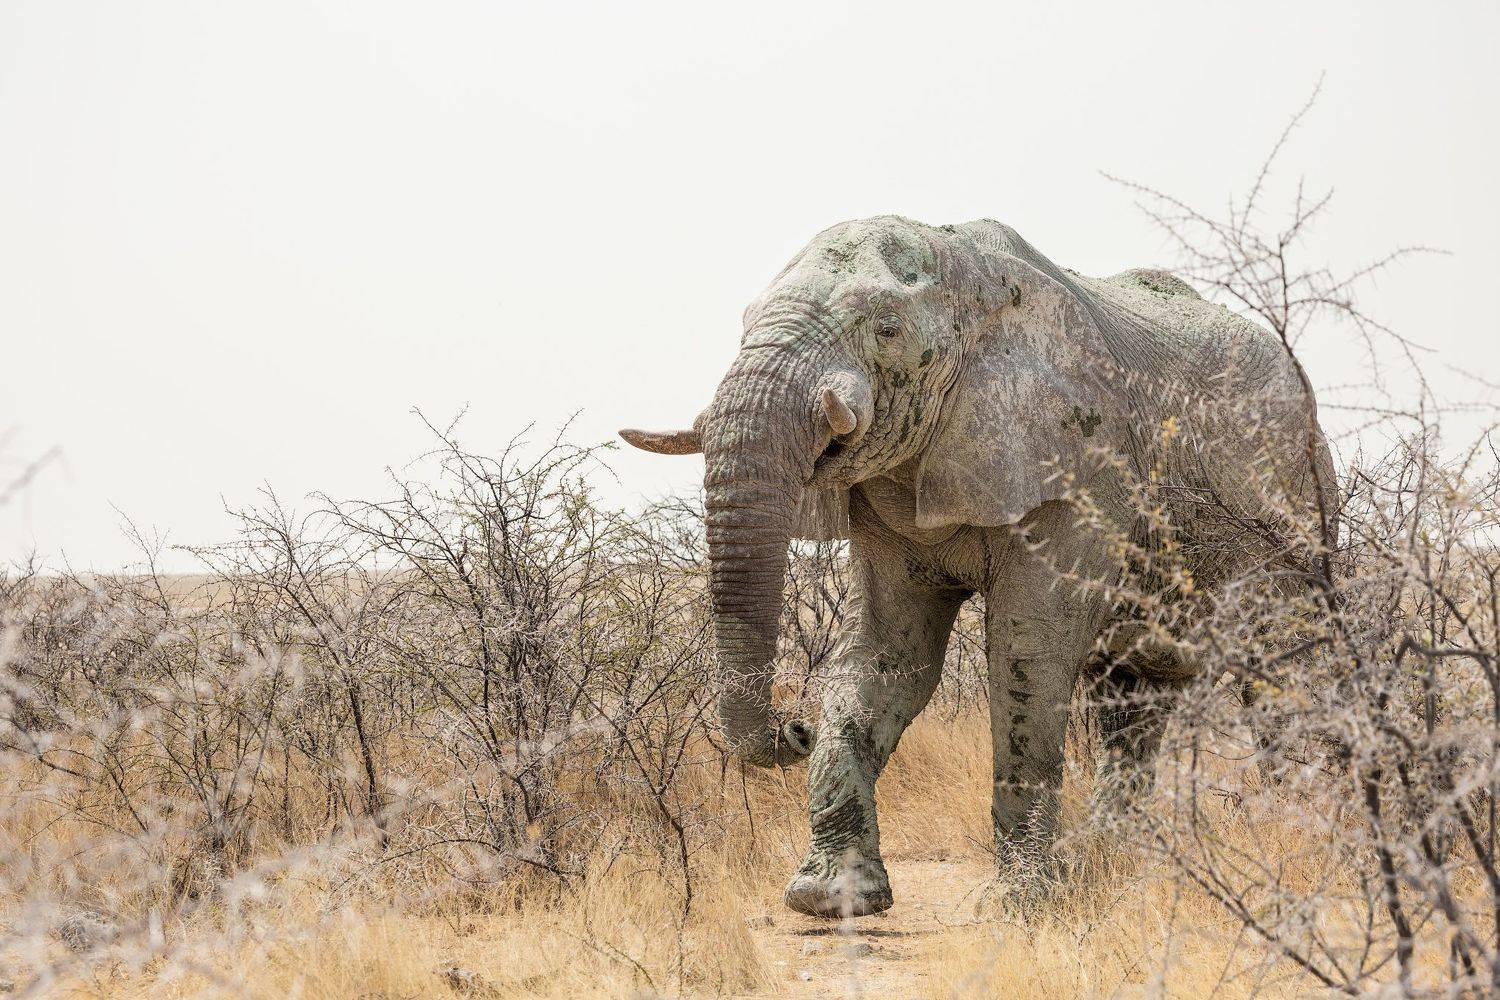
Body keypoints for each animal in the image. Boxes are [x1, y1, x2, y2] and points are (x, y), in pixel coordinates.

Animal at [620, 216, 1334, 918]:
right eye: (742, 323)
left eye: (886, 329)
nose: (793, 727)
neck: (965, 273)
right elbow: (888, 657)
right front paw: (829, 900)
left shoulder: (1077, 470)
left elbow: (1029, 652)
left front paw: (1022, 907)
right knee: (1132, 699)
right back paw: (1120, 864)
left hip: (1297, 505)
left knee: (1279, 668)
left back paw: (1291, 834)